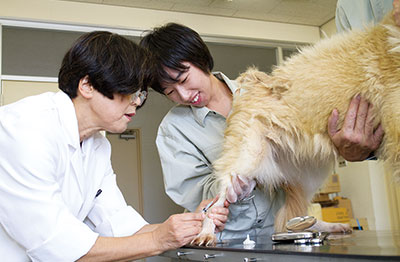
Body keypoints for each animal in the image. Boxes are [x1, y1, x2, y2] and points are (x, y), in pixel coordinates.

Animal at [193, 12, 400, 246]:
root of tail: (256, 83)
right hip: (246, 159)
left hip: (309, 174)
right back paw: (206, 233)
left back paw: (329, 227)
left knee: (293, 218)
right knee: (215, 205)